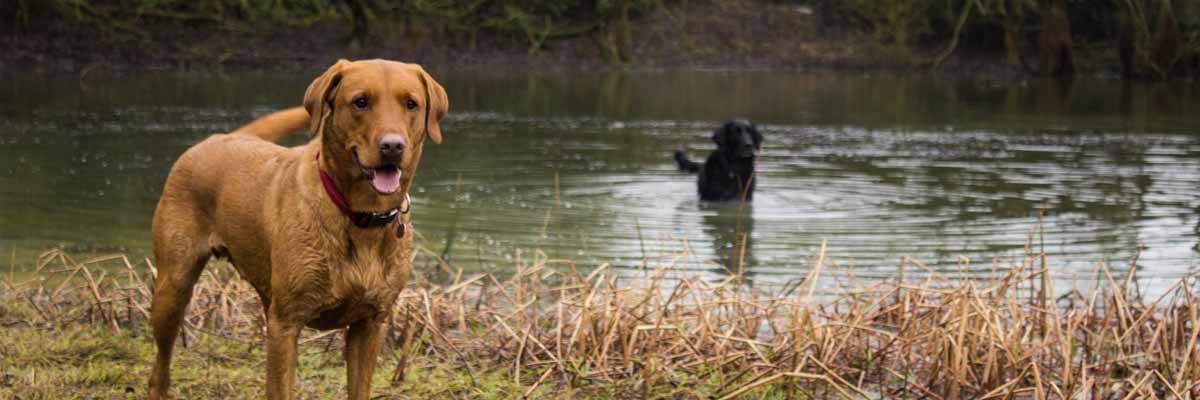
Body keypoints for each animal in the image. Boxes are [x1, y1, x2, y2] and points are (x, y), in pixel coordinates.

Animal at [147, 59, 448, 398]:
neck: (360, 217)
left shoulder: (371, 322)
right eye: (360, 102)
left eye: (411, 104)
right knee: (159, 369)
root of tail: (218, 136)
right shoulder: (286, 323)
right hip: (174, 286)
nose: (393, 146)